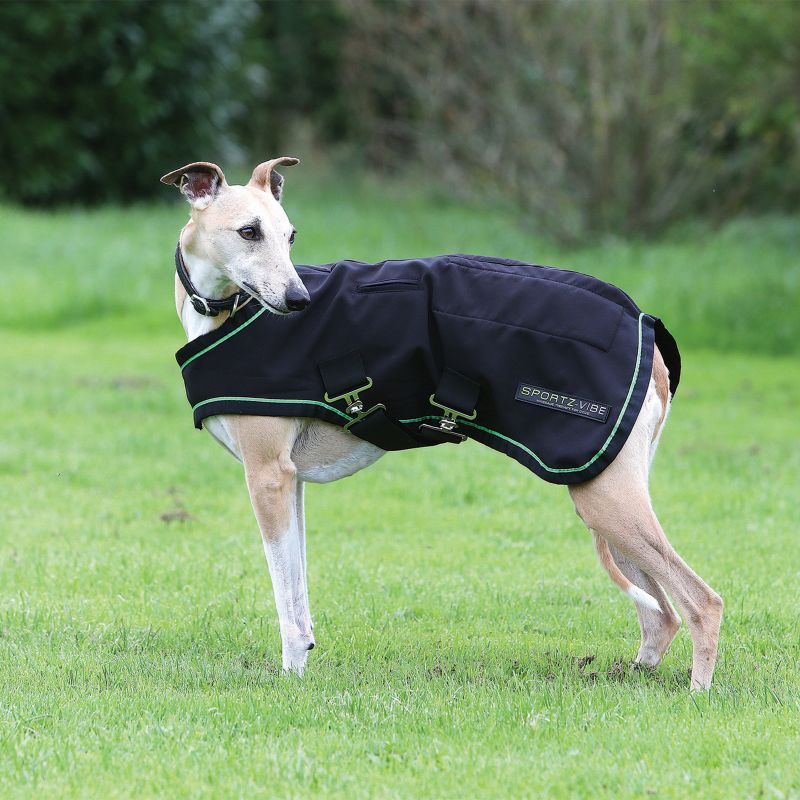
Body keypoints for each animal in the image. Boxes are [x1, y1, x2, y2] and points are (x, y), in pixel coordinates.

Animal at [159, 159, 720, 692]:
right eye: (249, 231)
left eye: (289, 235)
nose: (299, 301)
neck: (226, 311)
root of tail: (645, 325)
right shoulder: (291, 482)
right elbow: (297, 590)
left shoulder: (267, 477)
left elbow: (286, 603)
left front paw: (291, 677)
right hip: (609, 500)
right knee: (662, 616)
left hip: (605, 498)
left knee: (701, 602)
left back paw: (698, 692)